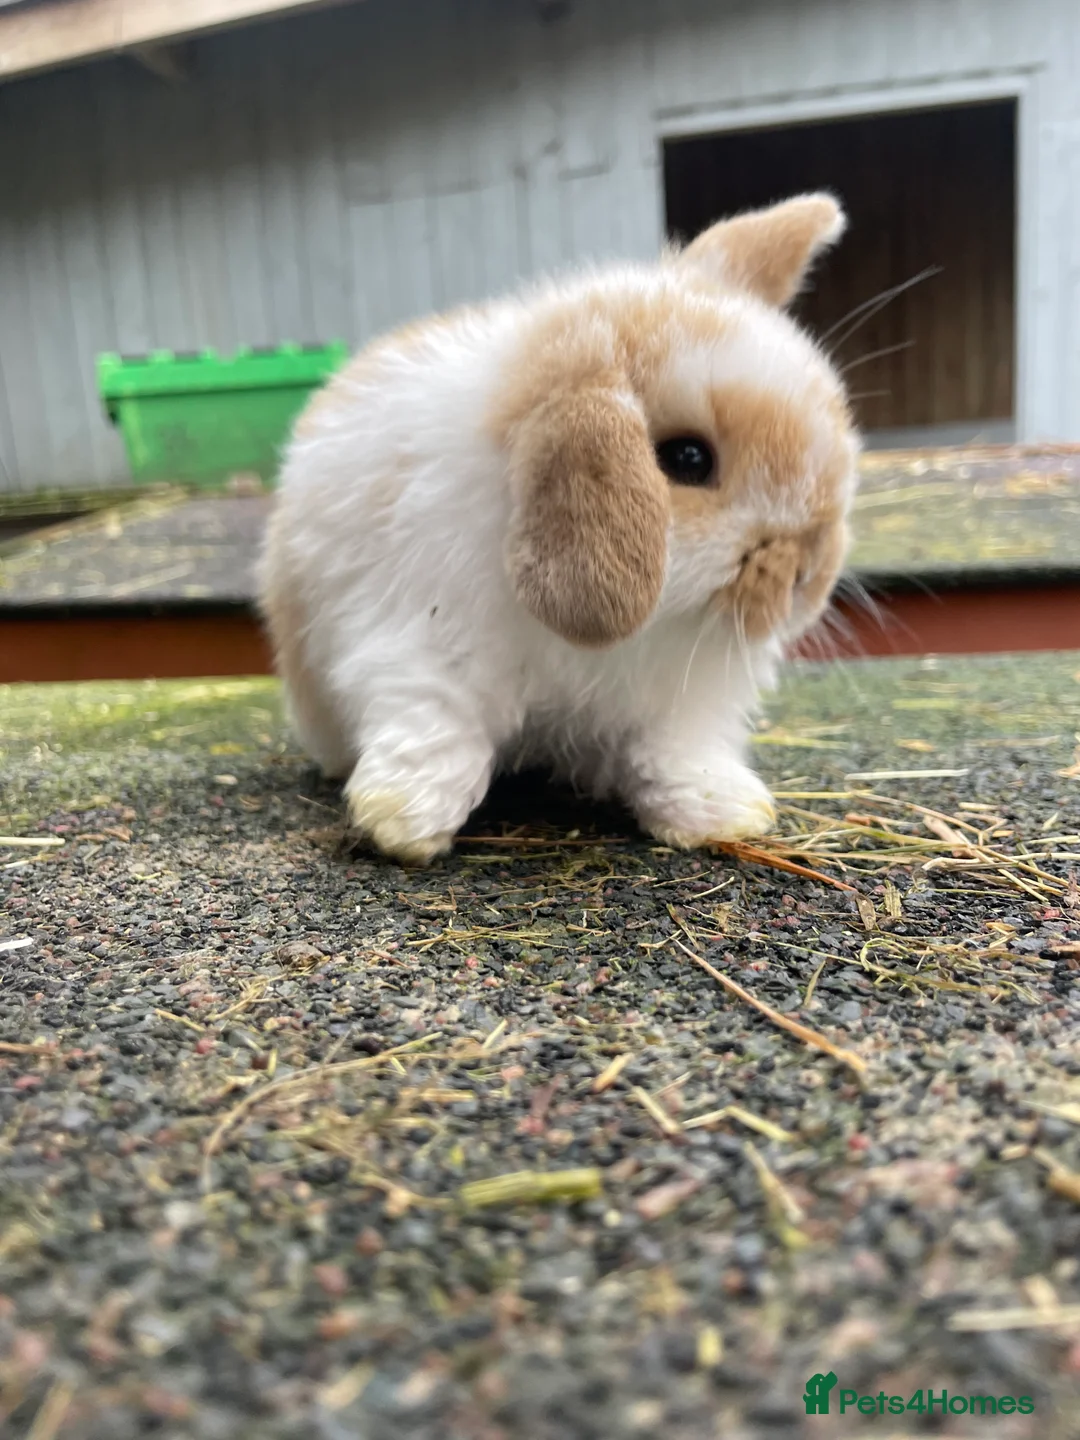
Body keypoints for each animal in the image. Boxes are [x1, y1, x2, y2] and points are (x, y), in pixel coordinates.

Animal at [257, 193, 859, 865]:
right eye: (688, 459)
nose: (811, 571)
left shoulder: (677, 701)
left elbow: (674, 753)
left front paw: (721, 813)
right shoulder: (424, 649)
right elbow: (436, 730)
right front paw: (405, 820)